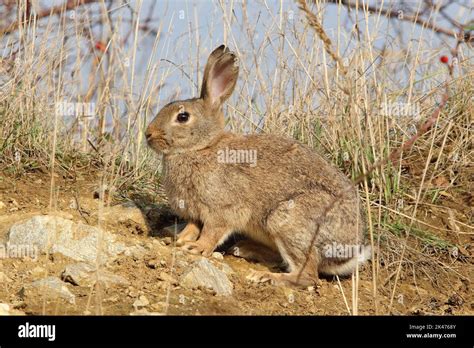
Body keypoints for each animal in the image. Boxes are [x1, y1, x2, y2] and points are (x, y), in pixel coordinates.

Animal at [146, 45, 368, 286]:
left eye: (183, 117)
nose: (148, 134)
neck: (201, 148)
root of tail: (348, 253)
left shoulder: (223, 209)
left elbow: (212, 232)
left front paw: (196, 248)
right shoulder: (195, 212)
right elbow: (192, 227)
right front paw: (179, 240)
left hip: (286, 221)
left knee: (308, 275)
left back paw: (265, 276)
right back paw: (245, 249)